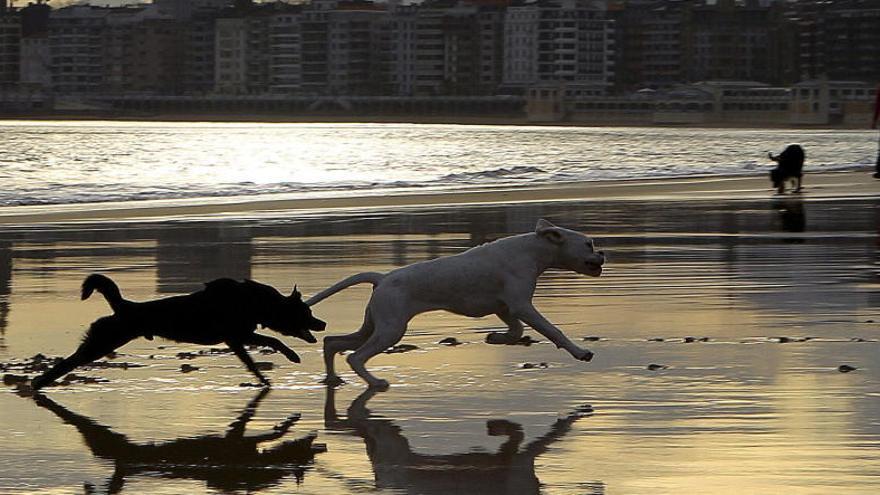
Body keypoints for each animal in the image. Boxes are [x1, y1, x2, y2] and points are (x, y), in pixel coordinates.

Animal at [31, 276, 328, 392]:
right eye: (307, 312)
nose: (323, 324)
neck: (257, 303)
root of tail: (124, 306)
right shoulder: (239, 336)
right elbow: (273, 340)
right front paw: (292, 356)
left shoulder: (236, 340)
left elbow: (253, 362)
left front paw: (263, 380)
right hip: (103, 341)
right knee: (70, 361)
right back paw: (40, 382)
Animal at [308, 219, 604, 390]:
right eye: (589, 244)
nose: (602, 252)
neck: (532, 250)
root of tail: (382, 278)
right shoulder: (522, 307)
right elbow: (553, 331)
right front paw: (580, 352)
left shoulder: (505, 309)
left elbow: (516, 331)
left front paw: (495, 338)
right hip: (390, 330)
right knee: (355, 356)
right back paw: (375, 382)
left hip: (374, 326)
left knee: (333, 343)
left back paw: (332, 379)